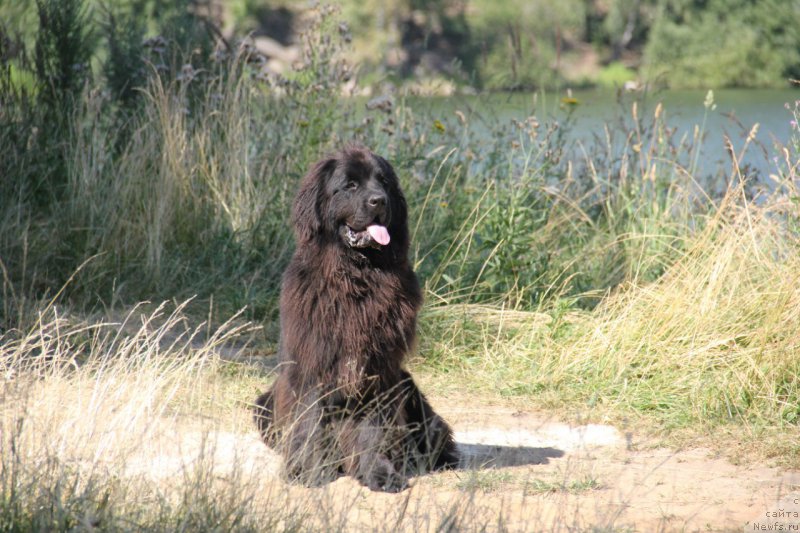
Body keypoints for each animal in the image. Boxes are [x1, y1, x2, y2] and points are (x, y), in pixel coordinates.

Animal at [253, 144, 460, 490]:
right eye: (350, 185)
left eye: (384, 182)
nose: (379, 201)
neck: (356, 277)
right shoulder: (312, 364)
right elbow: (309, 421)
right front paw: (306, 471)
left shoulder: (379, 370)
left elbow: (371, 432)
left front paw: (378, 473)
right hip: (264, 404)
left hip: (411, 392)